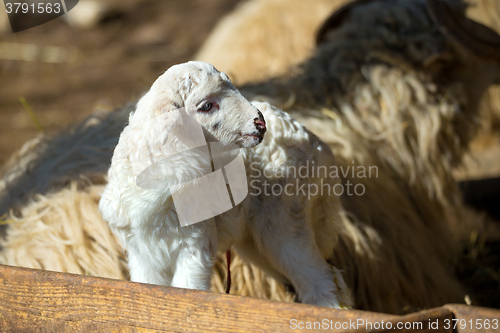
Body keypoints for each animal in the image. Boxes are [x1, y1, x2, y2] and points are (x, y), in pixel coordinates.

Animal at [98, 61, 352, 308]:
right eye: (206, 106)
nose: (260, 123)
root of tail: (314, 142)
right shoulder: (142, 253)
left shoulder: (195, 243)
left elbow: (186, 290)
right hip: (254, 239)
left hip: (285, 218)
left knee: (320, 279)